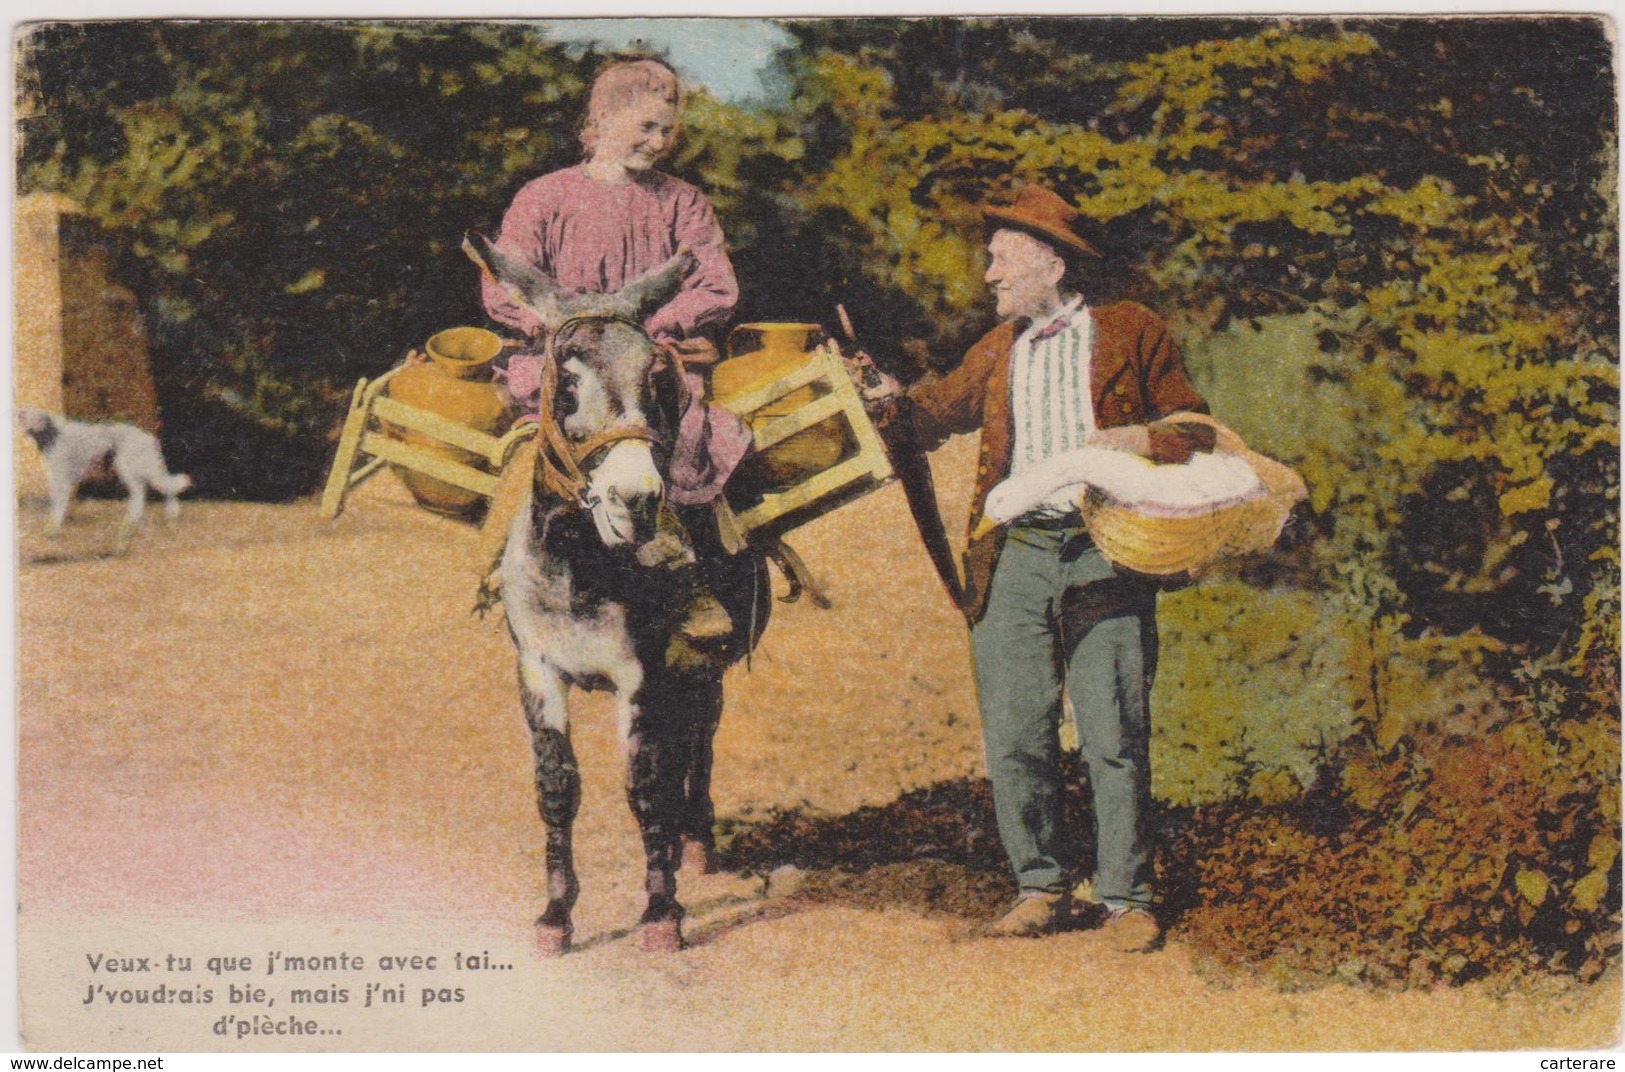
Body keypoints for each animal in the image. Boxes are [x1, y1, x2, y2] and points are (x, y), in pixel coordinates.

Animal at [17, 404, 191, 552]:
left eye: (30, 414)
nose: (20, 412)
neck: (52, 432)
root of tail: (148, 438)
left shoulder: (61, 479)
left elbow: (57, 507)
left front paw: (51, 530)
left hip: (129, 468)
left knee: (145, 497)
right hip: (141, 471)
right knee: (164, 493)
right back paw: (164, 521)